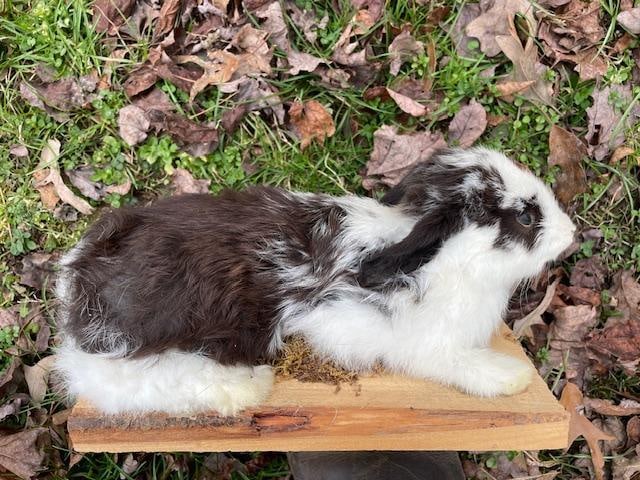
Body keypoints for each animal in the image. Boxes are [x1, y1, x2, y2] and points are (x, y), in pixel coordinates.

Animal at [54, 147, 576, 416]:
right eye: (526, 216)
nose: (573, 234)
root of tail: (79, 279)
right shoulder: (421, 345)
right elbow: (461, 365)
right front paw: (510, 378)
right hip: (154, 339)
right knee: (120, 383)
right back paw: (248, 387)